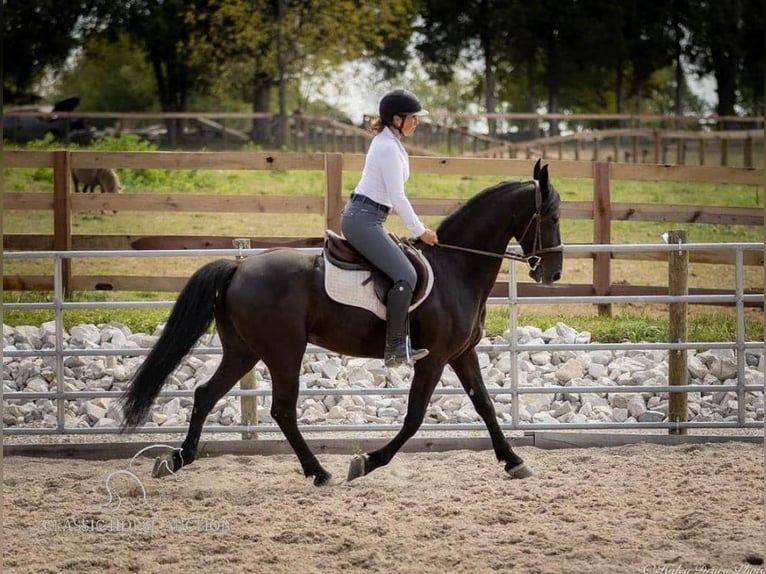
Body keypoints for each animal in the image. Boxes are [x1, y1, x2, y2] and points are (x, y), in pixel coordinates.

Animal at [120, 161, 564, 486]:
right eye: (550, 215)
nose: (553, 274)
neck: (456, 266)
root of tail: (238, 268)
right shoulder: (433, 359)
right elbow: (414, 418)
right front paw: (366, 461)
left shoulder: (461, 354)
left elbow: (486, 405)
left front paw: (514, 461)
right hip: (283, 352)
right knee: (282, 410)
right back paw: (319, 472)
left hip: (243, 351)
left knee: (205, 394)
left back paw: (177, 459)